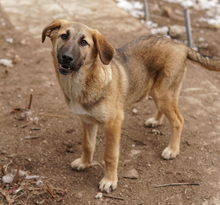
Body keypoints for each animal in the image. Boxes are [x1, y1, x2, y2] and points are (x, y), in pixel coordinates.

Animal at [41, 18, 220, 192]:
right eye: (64, 36)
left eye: (84, 42)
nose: (66, 57)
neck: (82, 81)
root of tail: (180, 45)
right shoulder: (87, 120)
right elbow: (87, 145)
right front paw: (84, 163)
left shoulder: (113, 124)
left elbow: (110, 156)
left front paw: (109, 181)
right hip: (158, 91)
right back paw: (156, 120)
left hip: (163, 93)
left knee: (178, 120)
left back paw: (172, 150)